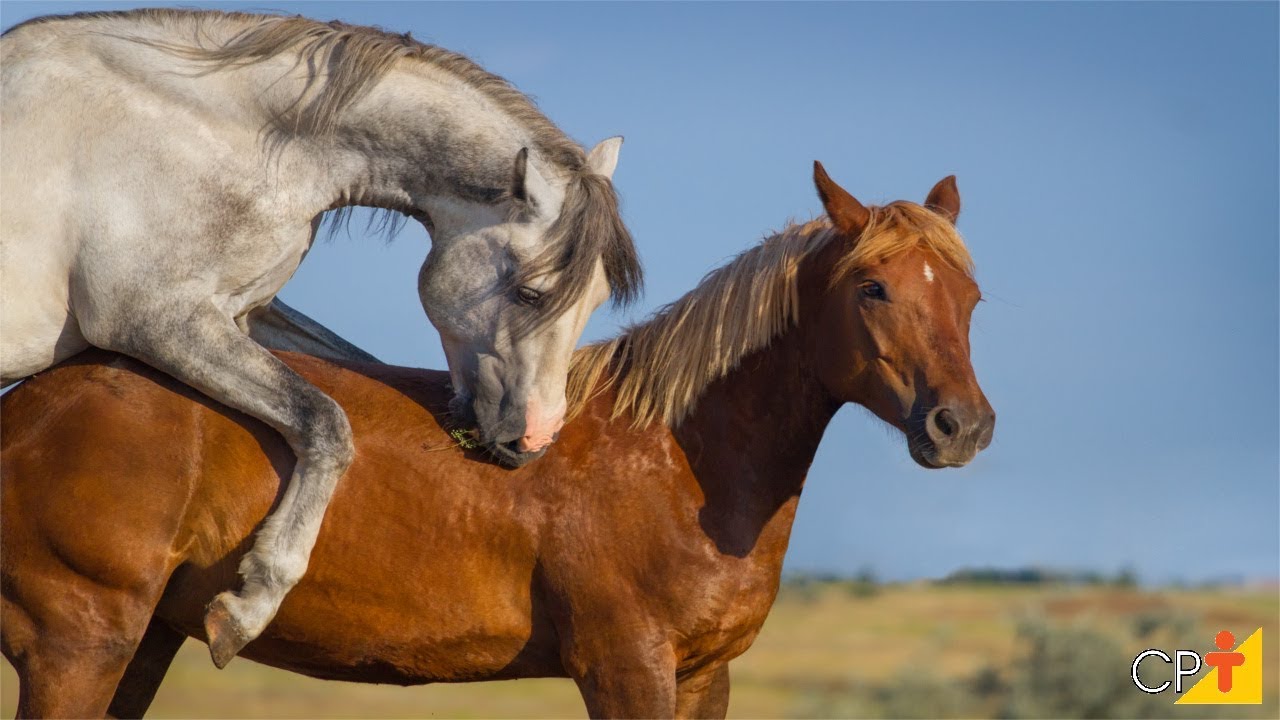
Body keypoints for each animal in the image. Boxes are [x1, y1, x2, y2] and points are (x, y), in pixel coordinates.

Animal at [0, 9, 642, 664]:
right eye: (532, 293)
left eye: (594, 301)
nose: (535, 441)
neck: (210, 130)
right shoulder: (153, 317)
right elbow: (328, 420)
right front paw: (250, 604)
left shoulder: (243, 314)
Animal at [0, 164, 994, 718]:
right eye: (872, 288)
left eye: (970, 296)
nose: (962, 426)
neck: (675, 460)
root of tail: (30, 408)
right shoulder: (626, 669)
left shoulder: (705, 677)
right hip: (78, 646)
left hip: (141, 645)